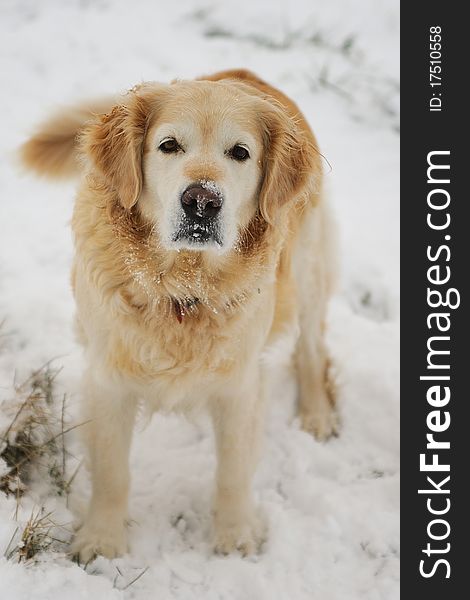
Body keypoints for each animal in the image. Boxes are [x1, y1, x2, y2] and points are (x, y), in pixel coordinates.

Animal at [21, 70, 338, 564]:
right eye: (169, 145)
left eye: (240, 153)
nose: (202, 201)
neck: (182, 290)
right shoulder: (109, 378)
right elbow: (112, 471)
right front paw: (102, 539)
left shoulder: (238, 384)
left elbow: (232, 470)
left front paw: (235, 534)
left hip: (306, 270)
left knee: (311, 346)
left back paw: (317, 414)